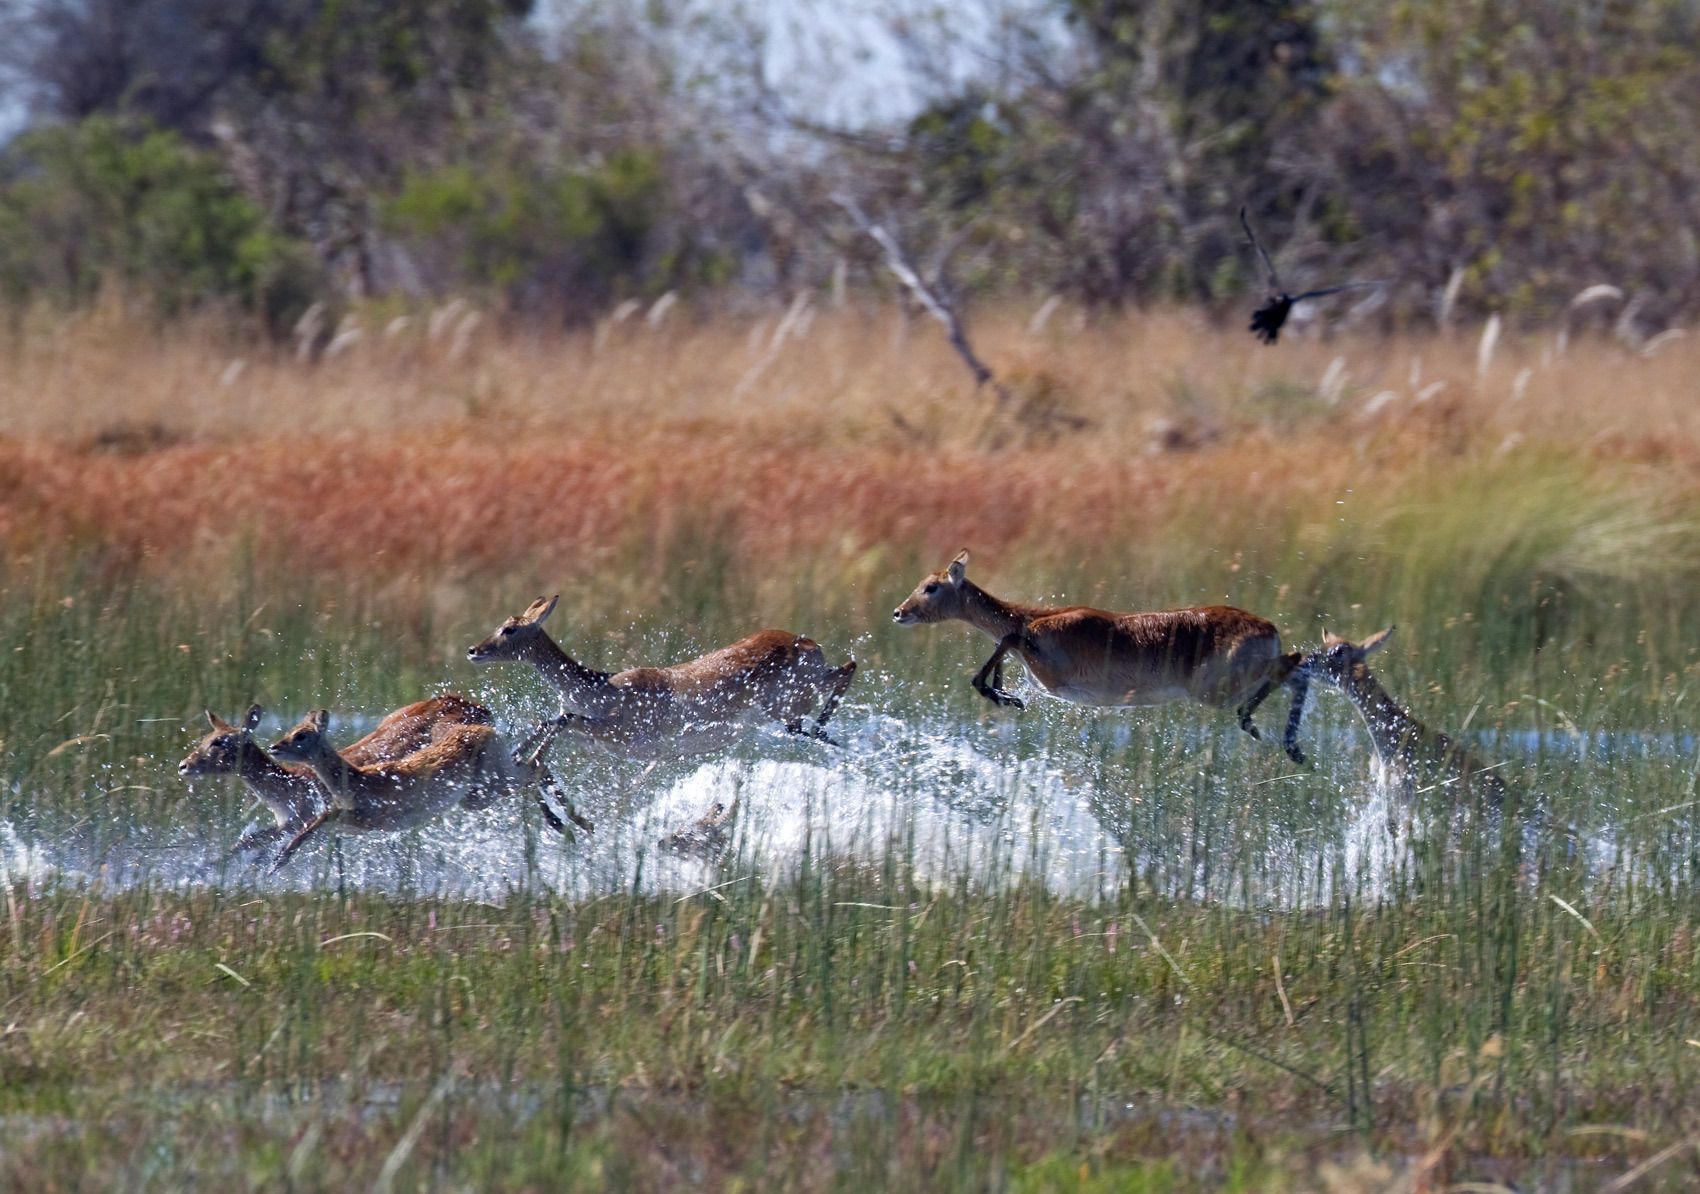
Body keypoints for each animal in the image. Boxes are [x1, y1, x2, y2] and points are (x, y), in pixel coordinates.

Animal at [179, 695, 493, 857]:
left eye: (219, 742)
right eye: (205, 737)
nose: (183, 765)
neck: (285, 789)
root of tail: (480, 707)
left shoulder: (302, 820)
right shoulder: (287, 824)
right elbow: (245, 842)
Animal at [266, 708, 591, 872]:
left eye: (301, 734)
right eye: (291, 730)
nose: (274, 747)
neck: (356, 781)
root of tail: (486, 729)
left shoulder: (372, 819)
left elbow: (320, 819)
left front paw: (278, 861)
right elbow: (318, 819)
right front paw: (277, 860)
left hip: (492, 785)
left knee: (536, 767)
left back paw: (574, 824)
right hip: (481, 792)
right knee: (533, 763)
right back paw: (570, 825)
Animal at [466, 596, 857, 761]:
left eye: (510, 628)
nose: (473, 650)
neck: (600, 689)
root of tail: (807, 641)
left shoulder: (625, 735)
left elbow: (561, 719)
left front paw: (525, 762)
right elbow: (551, 719)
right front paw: (517, 757)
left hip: (789, 699)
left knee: (845, 671)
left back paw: (822, 730)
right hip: (802, 691)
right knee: (847, 667)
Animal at [892, 550, 1309, 762]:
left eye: (930, 587)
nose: (898, 612)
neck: (1036, 617)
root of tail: (1269, 627)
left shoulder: (1052, 672)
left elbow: (1009, 638)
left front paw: (999, 693)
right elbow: (1008, 641)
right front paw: (1003, 693)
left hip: (1218, 689)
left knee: (1297, 664)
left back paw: (1268, 732)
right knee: (1297, 669)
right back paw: (1285, 744)